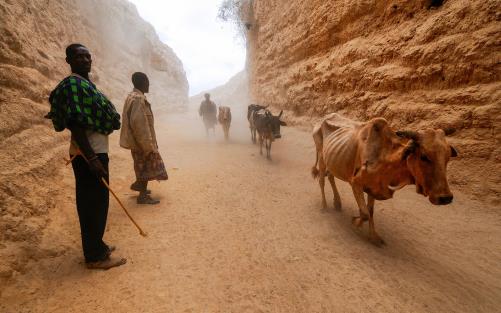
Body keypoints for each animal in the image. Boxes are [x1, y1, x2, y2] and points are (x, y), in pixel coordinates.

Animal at [312, 112, 458, 244]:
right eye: (424, 156)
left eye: (448, 157)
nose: (445, 198)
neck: (387, 160)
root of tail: (323, 118)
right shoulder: (356, 183)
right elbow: (364, 213)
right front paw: (355, 222)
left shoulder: (373, 187)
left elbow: (370, 211)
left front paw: (373, 236)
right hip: (321, 156)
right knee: (321, 180)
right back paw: (324, 206)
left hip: (332, 160)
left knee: (331, 176)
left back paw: (337, 203)